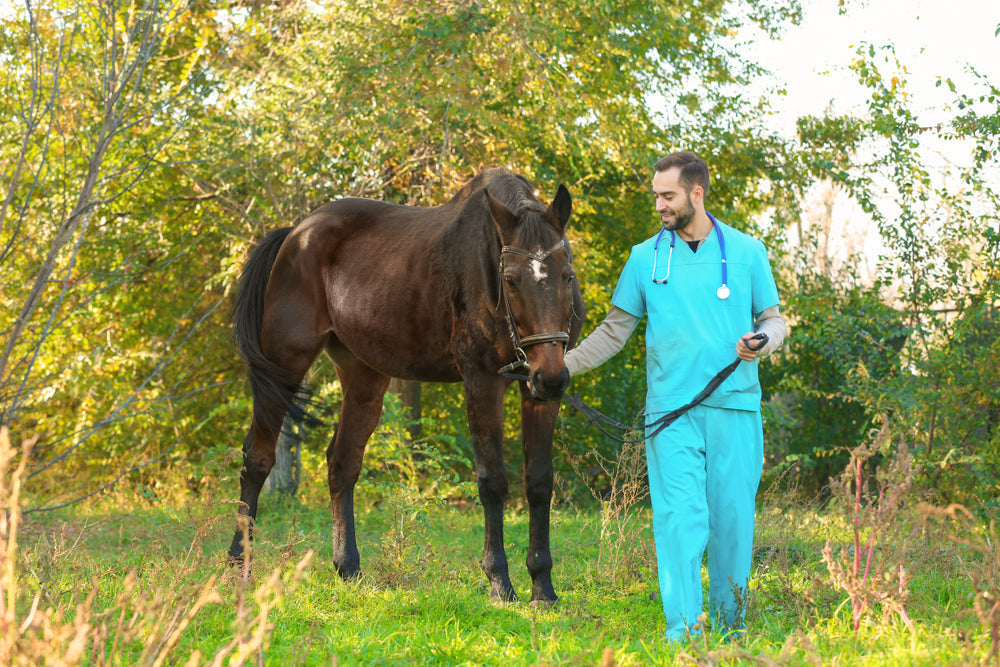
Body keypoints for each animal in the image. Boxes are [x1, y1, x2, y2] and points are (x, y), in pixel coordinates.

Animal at [228, 168, 585, 604]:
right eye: (511, 280)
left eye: (567, 275)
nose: (551, 377)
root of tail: (297, 232)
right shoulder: (482, 380)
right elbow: (493, 482)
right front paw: (500, 581)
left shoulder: (534, 392)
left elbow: (539, 482)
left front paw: (543, 585)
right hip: (284, 365)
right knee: (258, 458)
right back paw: (237, 565)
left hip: (364, 377)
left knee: (342, 462)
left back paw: (348, 567)